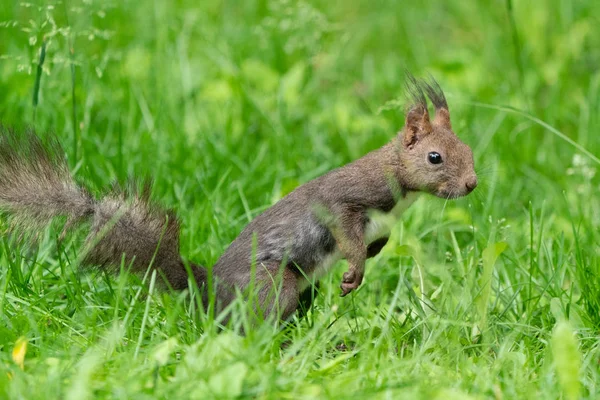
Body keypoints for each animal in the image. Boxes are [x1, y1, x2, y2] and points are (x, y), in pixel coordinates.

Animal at [0, 73, 478, 324]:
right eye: (435, 157)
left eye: (469, 150)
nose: (472, 184)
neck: (400, 186)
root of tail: (208, 291)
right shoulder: (345, 201)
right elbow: (348, 233)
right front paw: (355, 272)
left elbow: (375, 241)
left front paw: (372, 254)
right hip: (273, 285)